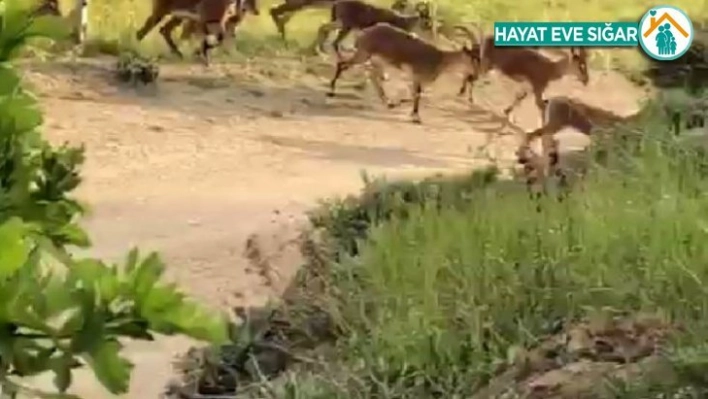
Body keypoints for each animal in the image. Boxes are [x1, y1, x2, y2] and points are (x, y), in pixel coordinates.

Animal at [330, 23, 478, 123]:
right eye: (474, 58)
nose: (475, 76)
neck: (439, 59)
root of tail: (364, 32)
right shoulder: (416, 76)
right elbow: (417, 95)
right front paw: (416, 117)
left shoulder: (416, 79)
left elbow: (414, 95)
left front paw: (397, 104)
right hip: (363, 54)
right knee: (342, 64)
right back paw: (331, 91)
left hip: (377, 60)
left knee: (372, 76)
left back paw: (387, 102)